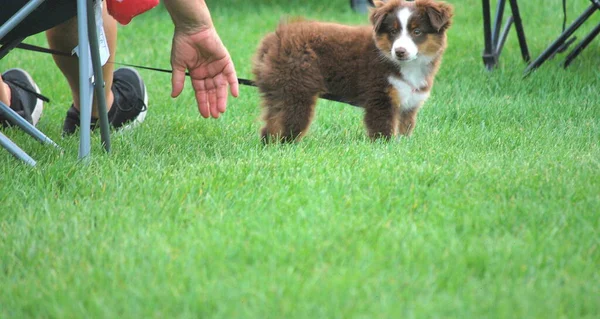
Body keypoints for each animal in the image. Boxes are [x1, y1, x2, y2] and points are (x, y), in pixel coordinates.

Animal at [251, 0, 452, 142]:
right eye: (393, 32)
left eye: (417, 32)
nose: (400, 51)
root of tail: (273, 39)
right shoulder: (380, 98)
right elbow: (383, 131)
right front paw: (386, 149)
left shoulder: (409, 103)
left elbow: (404, 130)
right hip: (297, 89)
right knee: (288, 124)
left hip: (279, 89)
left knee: (272, 123)